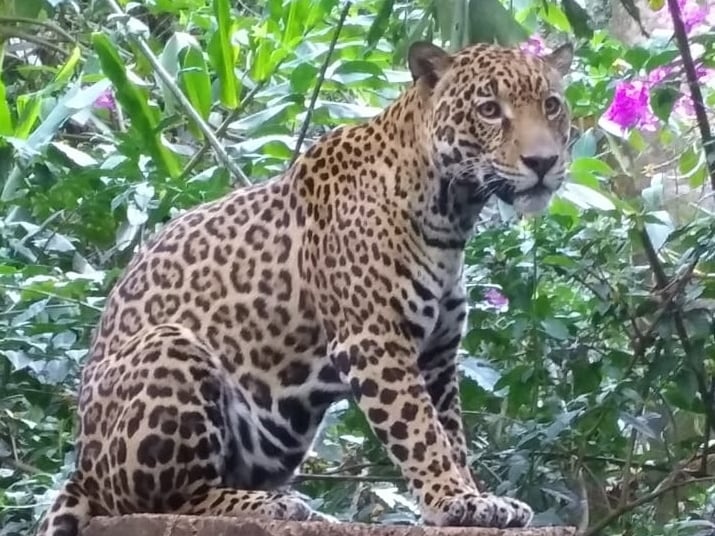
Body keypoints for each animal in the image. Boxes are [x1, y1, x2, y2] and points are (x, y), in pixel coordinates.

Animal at [37, 39, 574, 536]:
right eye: (489, 110)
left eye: (551, 104)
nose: (543, 162)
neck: (451, 212)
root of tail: (81, 468)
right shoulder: (373, 341)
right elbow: (420, 431)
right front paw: (454, 500)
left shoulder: (437, 355)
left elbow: (449, 432)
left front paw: (472, 497)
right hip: (170, 346)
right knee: (167, 498)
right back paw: (274, 506)